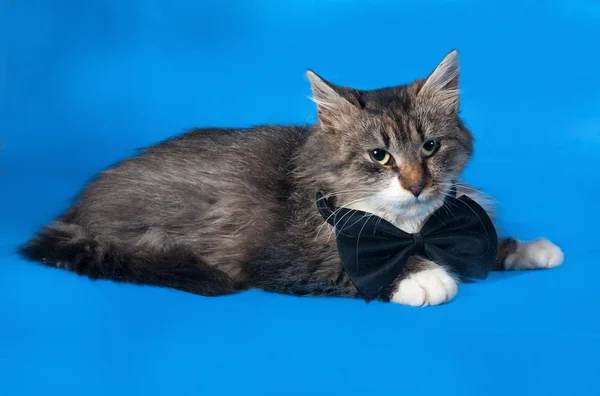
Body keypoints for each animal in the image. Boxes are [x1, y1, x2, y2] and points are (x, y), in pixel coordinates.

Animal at [18, 51, 564, 306]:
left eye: (430, 147)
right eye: (380, 156)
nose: (416, 185)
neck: (407, 227)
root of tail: (75, 212)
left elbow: (487, 244)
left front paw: (532, 249)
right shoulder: (280, 259)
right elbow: (350, 270)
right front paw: (425, 277)